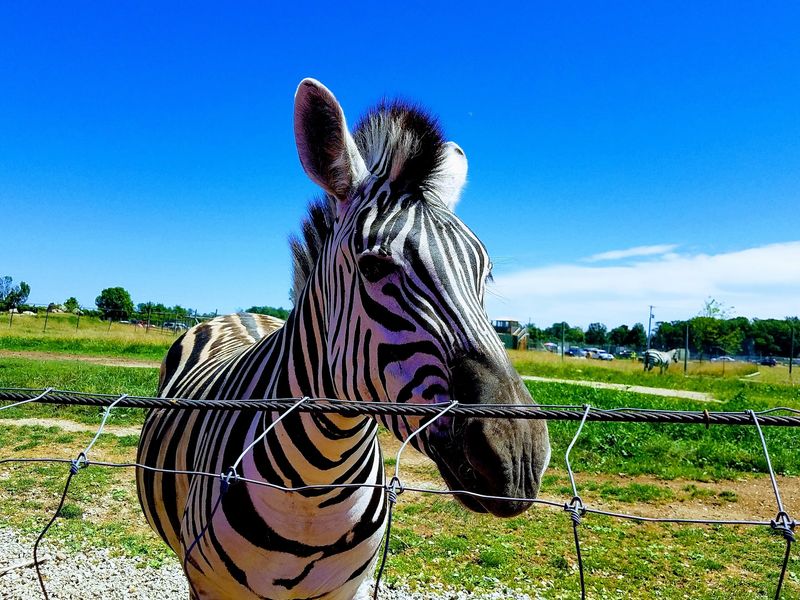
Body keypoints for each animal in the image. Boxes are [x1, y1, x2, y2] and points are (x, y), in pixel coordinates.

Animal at [136, 79, 551, 600]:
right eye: (372, 267)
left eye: (485, 273)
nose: (520, 455)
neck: (317, 488)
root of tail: (245, 315)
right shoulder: (210, 586)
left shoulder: (345, 589)